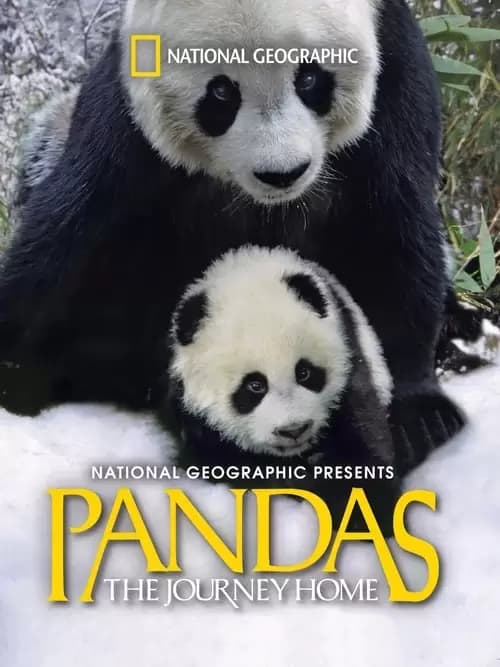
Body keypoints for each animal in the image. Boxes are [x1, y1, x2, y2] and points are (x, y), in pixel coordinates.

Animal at [0, 0, 464, 474]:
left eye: (309, 77)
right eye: (222, 92)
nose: (282, 173)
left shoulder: (395, 77)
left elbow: (393, 227)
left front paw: (419, 416)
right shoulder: (127, 112)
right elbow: (71, 229)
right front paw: (15, 369)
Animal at [160, 246, 402, 533]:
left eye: (304, 372)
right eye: (255, 385)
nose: (294, 430)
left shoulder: (350, 361)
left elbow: (364, 438)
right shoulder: (194, 417)